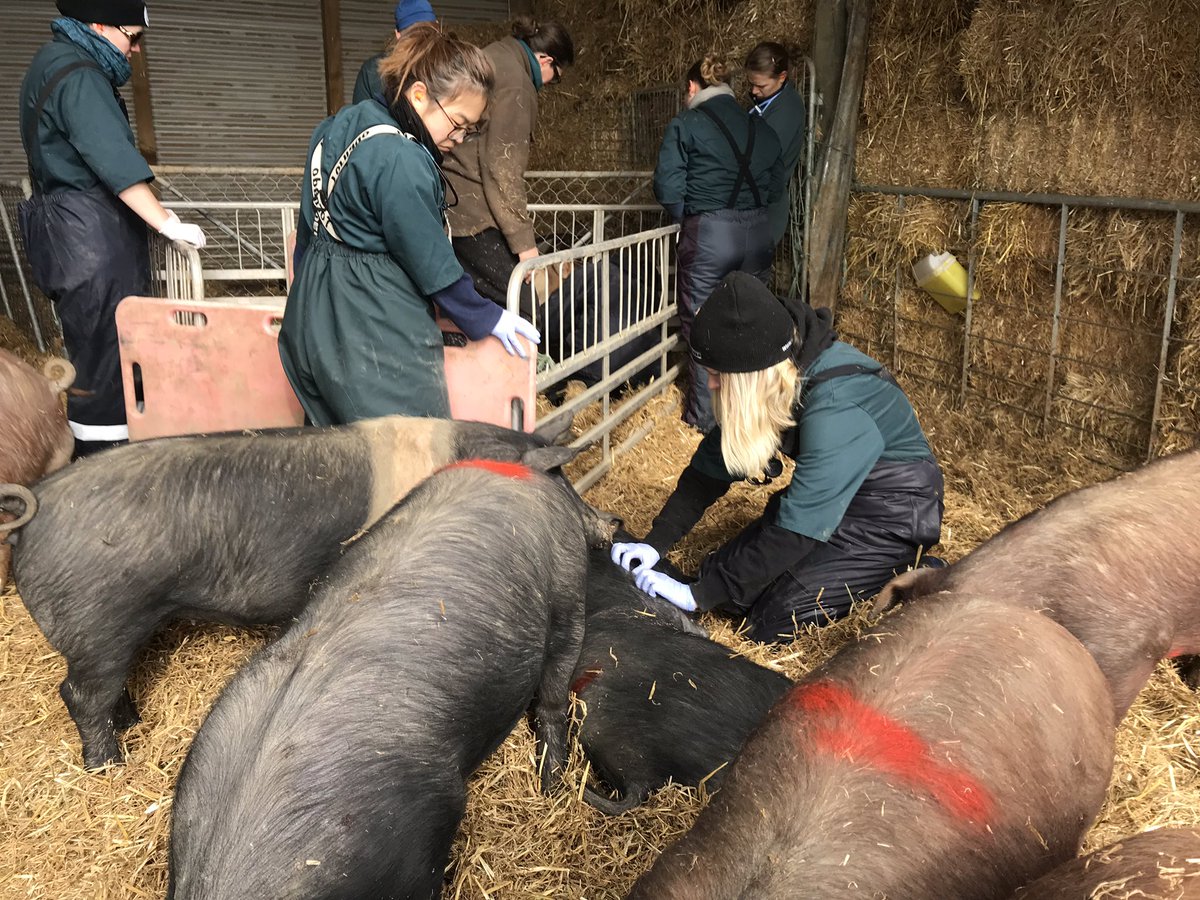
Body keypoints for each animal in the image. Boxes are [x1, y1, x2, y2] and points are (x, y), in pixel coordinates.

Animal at [1, 415, 590, 768]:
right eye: (562, 480)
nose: (603, 522)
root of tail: (38, 504)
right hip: (98, 624)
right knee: (79, 695)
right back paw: (109, 765)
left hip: (110, 634)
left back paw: (130, 725)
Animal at [166, 460, 609, 900]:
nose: (614, 521)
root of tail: (533, 477)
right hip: (569, 586)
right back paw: (553, 784)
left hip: (567, 585)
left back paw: (552, 786)